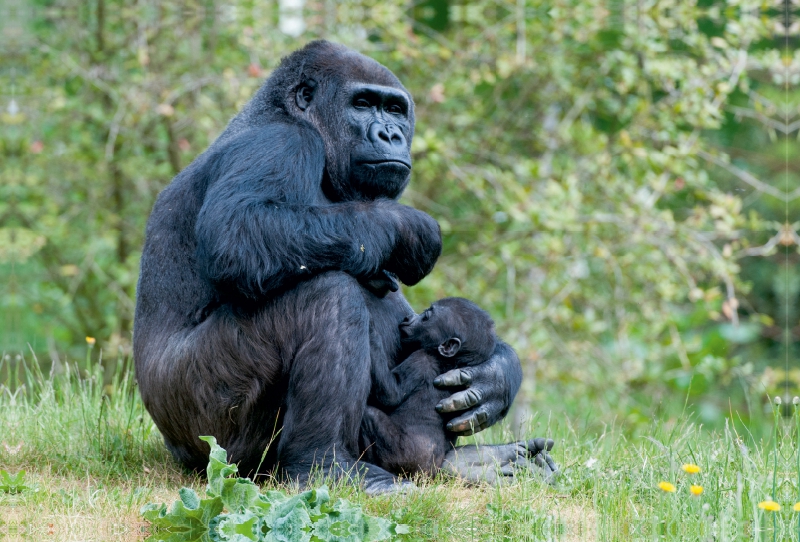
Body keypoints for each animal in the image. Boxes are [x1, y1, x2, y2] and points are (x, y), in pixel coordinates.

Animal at [360, 298, 496, 476]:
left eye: (426, 317)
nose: (409, 317)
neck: (452, 361)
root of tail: (429, 472)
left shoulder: (422, 360)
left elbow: (390, 395)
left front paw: (371, 329)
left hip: (404, 458)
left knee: (370, 416)